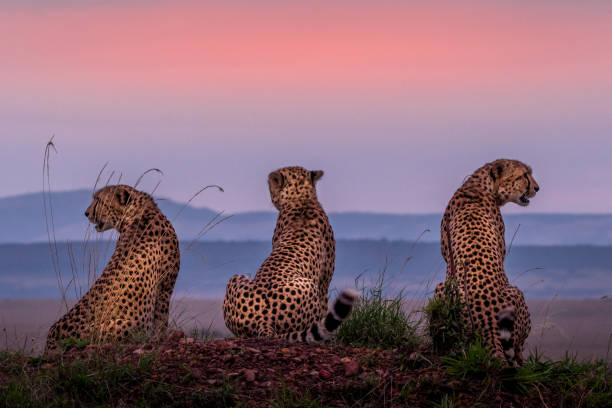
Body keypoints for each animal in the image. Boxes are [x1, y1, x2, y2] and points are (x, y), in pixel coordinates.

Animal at [45, 186, 180, 350]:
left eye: (99, 200)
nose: (86, 213)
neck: (137, 213)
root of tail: (52, 336)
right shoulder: (165, 288)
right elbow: (161, 321)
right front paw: (160, 338)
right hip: (126, 324)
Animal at [224, 166, 358, 342]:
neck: (301, 199)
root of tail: (264, 320)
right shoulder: (323, 281)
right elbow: (324, 308)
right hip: (308, 285)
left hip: (235, 278)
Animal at [436, 158, 540, 364]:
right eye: (524, 175)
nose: (537, 188)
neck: (479, 185)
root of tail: (487, 322)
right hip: (517, 293)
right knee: (517, 349)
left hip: (441, 289)